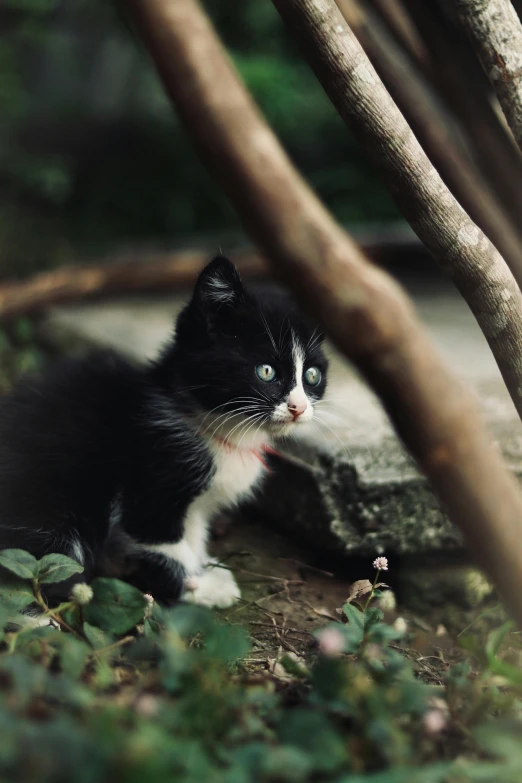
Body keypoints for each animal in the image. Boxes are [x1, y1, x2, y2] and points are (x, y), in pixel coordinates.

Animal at [0, 258, 328, 608]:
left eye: (312, 375)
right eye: (266, 372)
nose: (298, 407)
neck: (216, 425)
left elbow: (193, 531)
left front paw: (204, 569)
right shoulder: (151, 481)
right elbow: (164, 542)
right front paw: (198, 586)